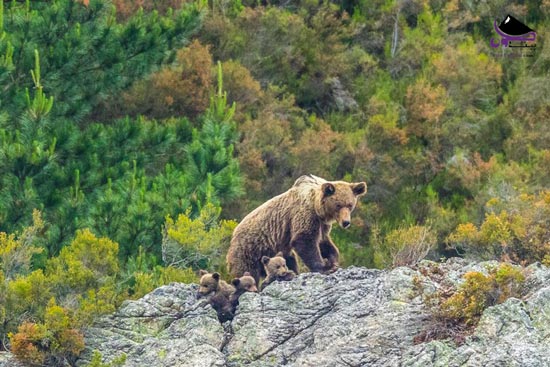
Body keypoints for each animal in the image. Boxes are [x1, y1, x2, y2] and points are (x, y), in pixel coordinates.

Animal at [226, 174, 368, 284]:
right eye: (338, 205)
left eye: (350, 205)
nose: (346, 222)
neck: (317, 208)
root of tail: (232, 236)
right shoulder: (304, 215)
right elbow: (304, 240)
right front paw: (324, 267)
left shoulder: (321, 224)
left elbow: (323, 242)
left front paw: (333, 261)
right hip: (249, 251)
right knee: (247, 272)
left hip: (277, 251)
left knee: (290, 260)